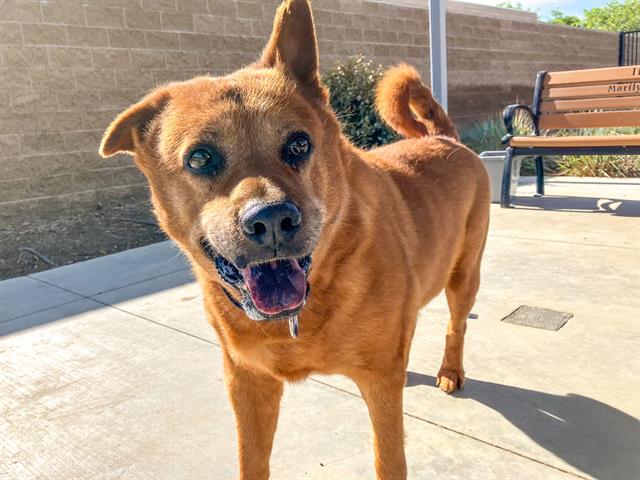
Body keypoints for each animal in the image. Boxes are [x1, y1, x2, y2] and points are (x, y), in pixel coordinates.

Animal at [100, 1, 490, 478]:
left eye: (300, 145)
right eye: (199, 158)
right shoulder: (247, 382)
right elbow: (252, 460)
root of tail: (446, 139)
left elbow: (389, 459)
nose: (271, 220)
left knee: (456, 325)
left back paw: (450, 369)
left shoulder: (380, 385)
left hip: (464, 276)